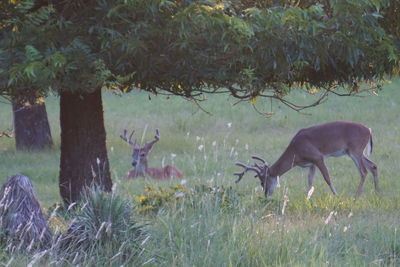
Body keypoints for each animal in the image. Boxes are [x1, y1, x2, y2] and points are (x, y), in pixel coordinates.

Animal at [236, 121, 380, 199]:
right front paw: (307, 199)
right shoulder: (312, 163)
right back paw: (378, 193)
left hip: (355, 150)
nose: (266, 194)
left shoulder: (318, 157)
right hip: (358, 152)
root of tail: (369, 130)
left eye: (263, 181)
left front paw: (337, 196)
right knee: (373, 166)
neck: (296, 151)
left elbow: (327, 178)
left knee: (363, 171)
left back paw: (356, 197)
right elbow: (310, 181)